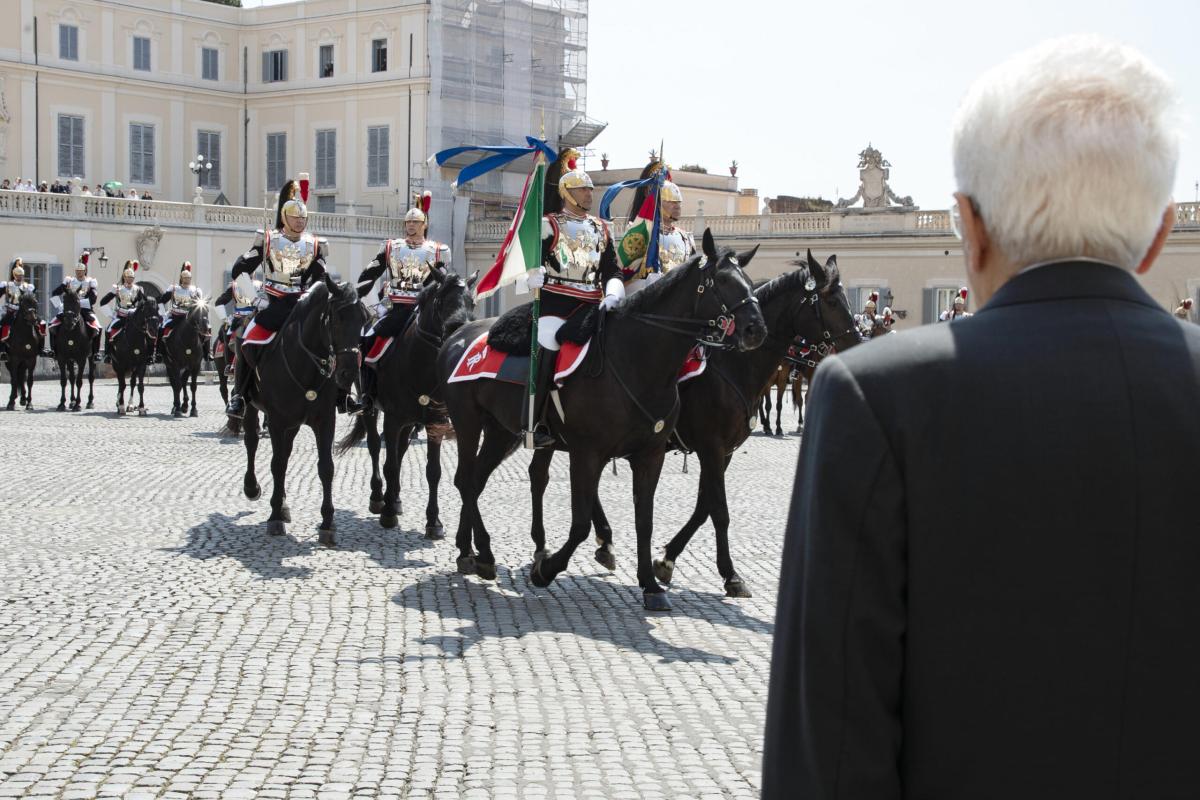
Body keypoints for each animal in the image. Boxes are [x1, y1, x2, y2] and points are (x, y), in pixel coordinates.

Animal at [235, 278, 362, 546]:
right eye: (336, 318)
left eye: (364, 319)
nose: (348, 373)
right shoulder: (277, 421)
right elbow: (276, 465)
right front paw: (274, 517)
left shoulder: (325, 421)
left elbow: (326, 467)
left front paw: (327, 523)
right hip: (252, 406)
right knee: (252, 442)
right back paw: (252, 488)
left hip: (293, 424)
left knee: (285, 451)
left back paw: (283, 504)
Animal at [338, 268, 477, 537]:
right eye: (440, 301)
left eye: (472, 302)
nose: (459, 333)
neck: (420, 366)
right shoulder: (392, 420)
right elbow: (389, 464)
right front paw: (388, 513)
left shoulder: (435, 423)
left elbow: (433, 471)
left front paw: (434, 522)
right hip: (372, 410)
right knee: (375, 447)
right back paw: (379, 497)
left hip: (411, 422)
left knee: (401, 451)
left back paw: (396, 498)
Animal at [436, 227, 763, 609]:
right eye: (721, 282)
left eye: (749, 283)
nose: (756, 329)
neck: (636, 360)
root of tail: (459, 334)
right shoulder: (590, 452)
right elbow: (580, 524)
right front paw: (546, 571)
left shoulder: (653, 455)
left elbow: (647, 520)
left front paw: (651, 584)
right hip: (469, 423)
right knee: (466, 480)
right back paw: (482, 552)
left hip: (502, 432)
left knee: (476, 481)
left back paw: (479, 555)